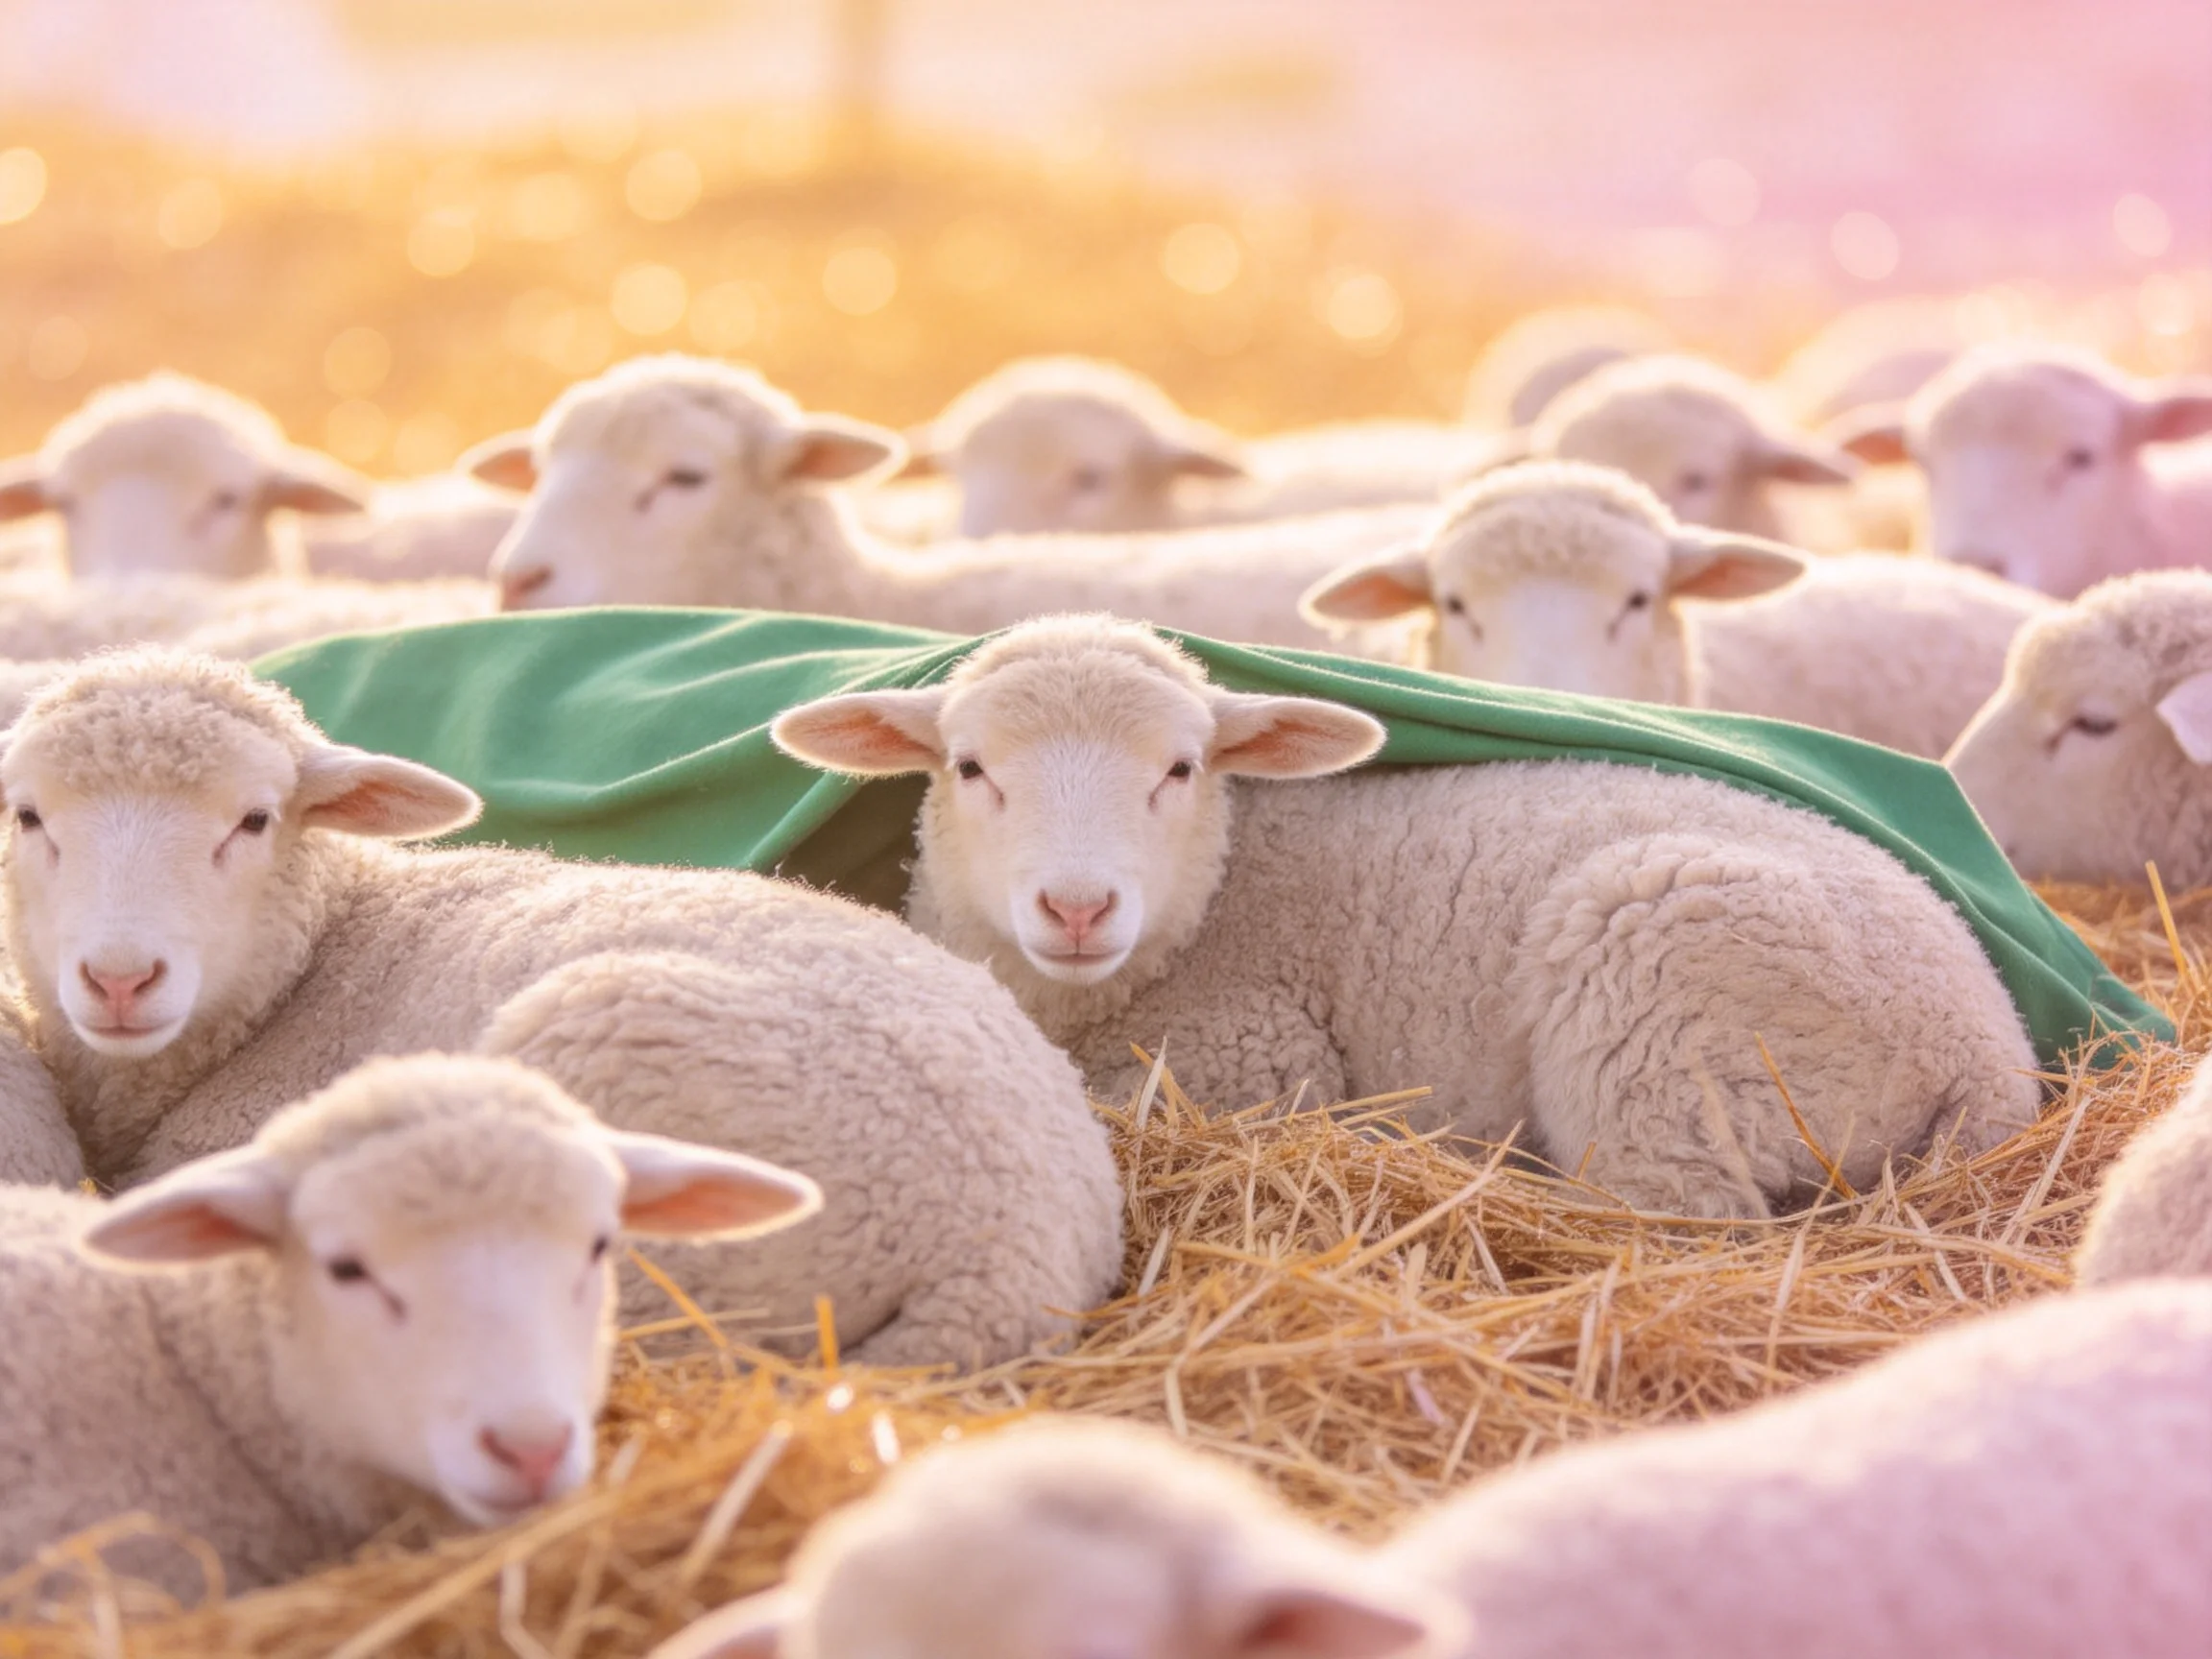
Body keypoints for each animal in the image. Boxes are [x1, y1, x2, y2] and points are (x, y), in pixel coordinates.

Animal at [773, 615, 2040, 1220]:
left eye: (1181, 768)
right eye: (969, 766)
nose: (1078, 904)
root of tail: (1990, 1045)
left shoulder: (1252, 1053)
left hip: (1669, 1021)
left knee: (1677, 1210)